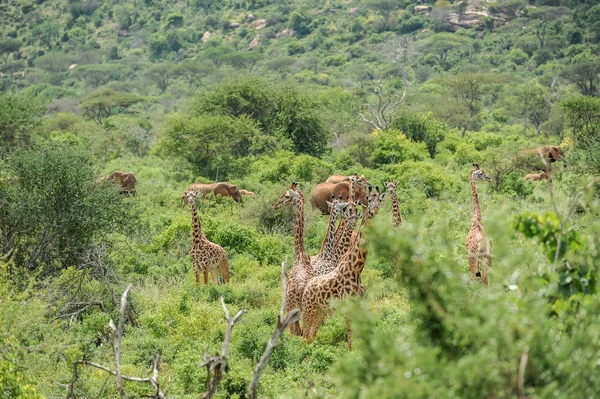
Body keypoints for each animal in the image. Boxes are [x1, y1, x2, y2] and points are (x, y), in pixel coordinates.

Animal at [302, 188, 386, 350]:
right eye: (370, 200)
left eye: (380, 199)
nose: (376, 209)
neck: (356, 268)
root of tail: (307, 286)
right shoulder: (348, 307)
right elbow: (350, 339)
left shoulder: (360, 305)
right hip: (309, 309)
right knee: (303, 335)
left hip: (320, 311)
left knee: (310, 337)